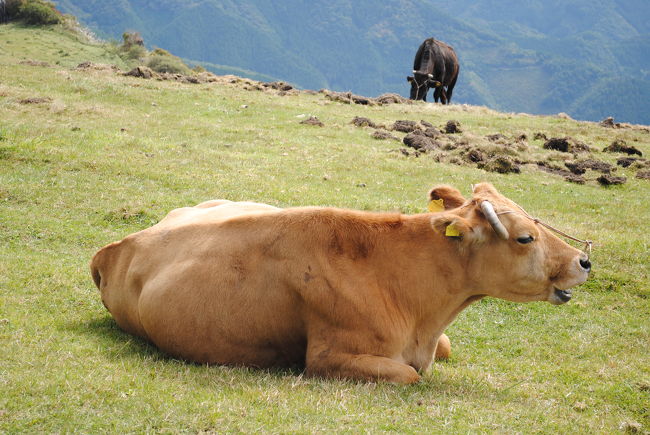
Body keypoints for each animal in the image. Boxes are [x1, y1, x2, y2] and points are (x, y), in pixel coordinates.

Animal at [92, 184, 592, 384]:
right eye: (525, 237)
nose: (583, 260)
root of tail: (115, 247)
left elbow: (445, 350)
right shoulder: (328, 357)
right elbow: (409, 375)